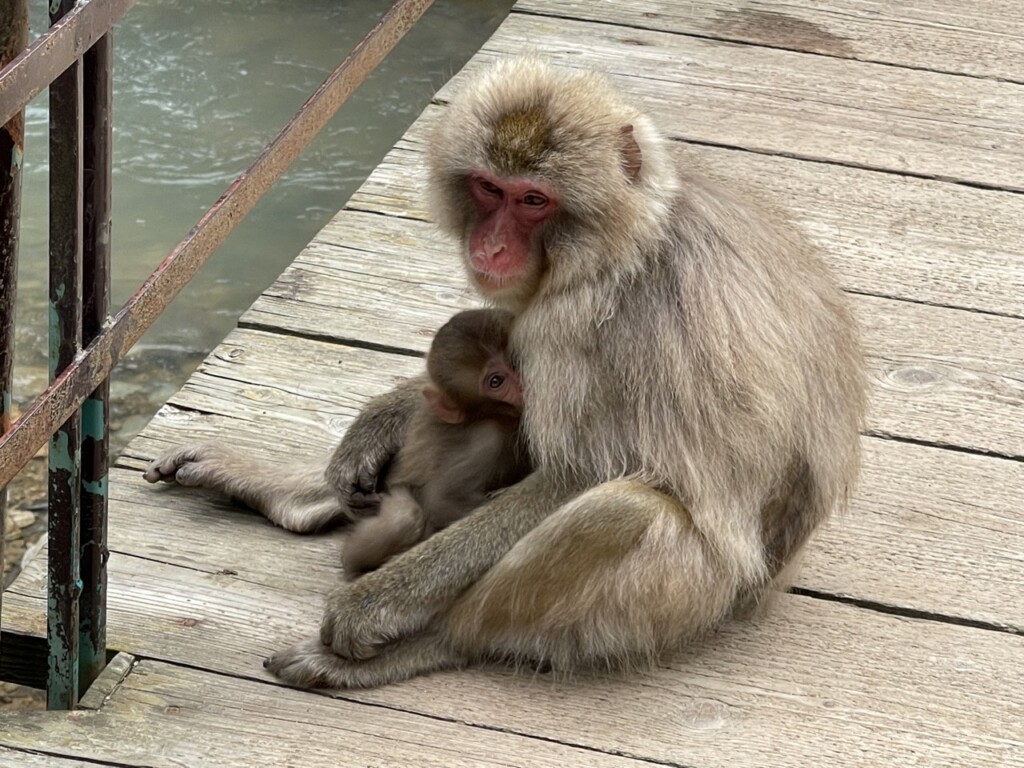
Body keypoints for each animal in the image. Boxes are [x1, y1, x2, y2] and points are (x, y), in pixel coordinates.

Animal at [342, 309, 532, 581]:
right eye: (496, 381)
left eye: (515, 359)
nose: (525, 382)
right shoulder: (487, 439)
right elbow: (442, 499)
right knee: (405, 518)